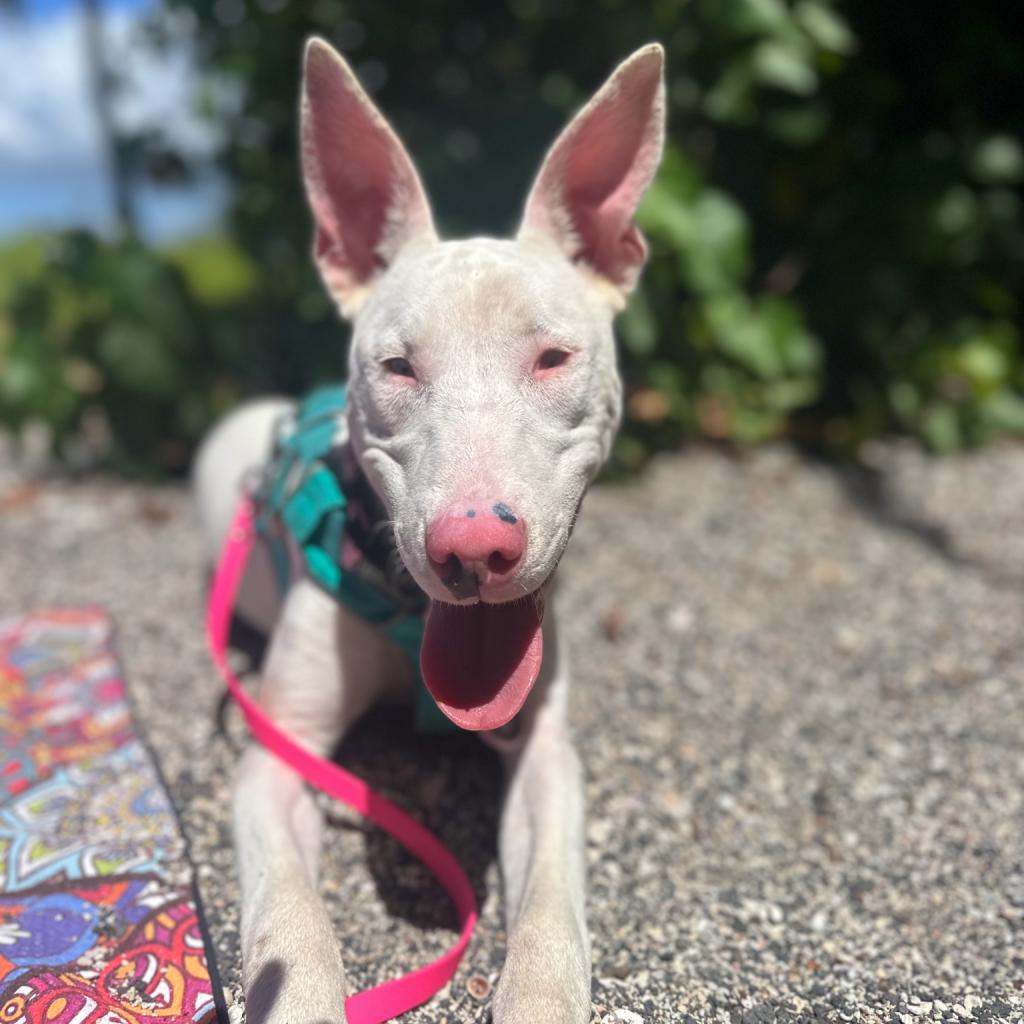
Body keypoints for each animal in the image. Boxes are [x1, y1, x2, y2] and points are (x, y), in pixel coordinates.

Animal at [195, 36, 667, 1019]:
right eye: (398, 367)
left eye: (553, 357)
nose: (473, 549)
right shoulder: (274, 762)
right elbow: (288, 919)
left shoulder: (546, 756)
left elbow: (551, 905)